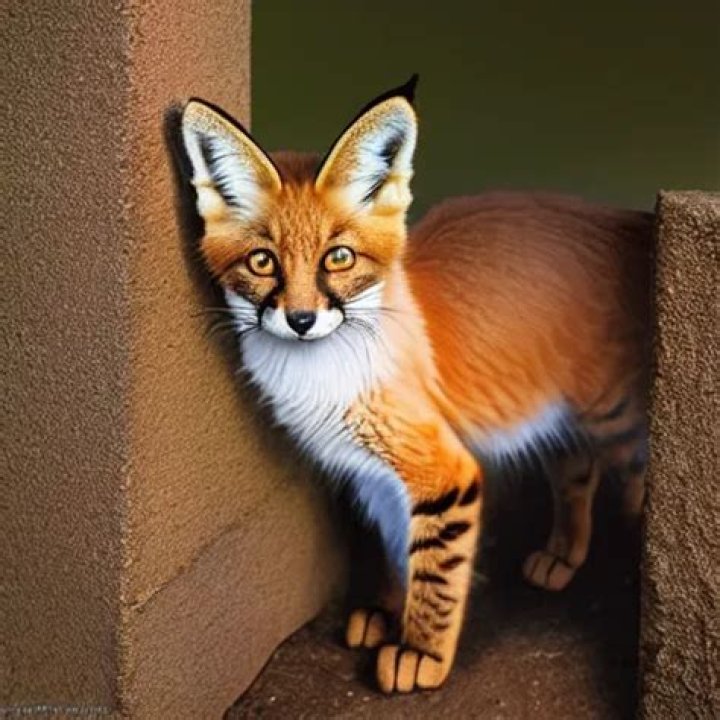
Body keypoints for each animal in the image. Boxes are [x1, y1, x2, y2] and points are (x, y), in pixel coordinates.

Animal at [180, 76, 653, 694]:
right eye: (263, 263)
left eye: (338, 258)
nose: (301, 319)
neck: (317, 370)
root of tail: (621, 216)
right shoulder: (374, 473)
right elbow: (396, 544)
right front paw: (389, 611)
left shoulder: (443, 471)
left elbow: (436, 568)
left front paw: (421, 651)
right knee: (577, 464)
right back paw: (563, 554)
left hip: (616, 413)